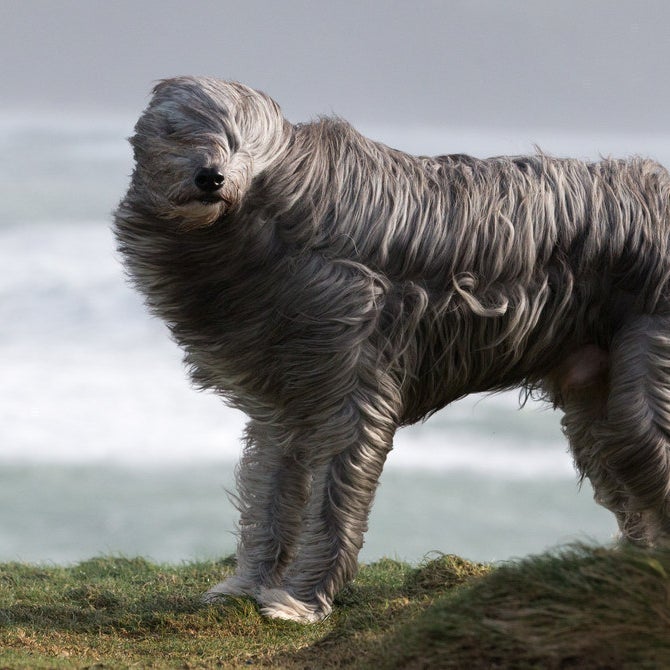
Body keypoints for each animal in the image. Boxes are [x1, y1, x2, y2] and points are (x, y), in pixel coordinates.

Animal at [114, 77, 670, 624]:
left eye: (245, 141)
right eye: (180, 129)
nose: (211, 177)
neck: (280, 206)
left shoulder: (353, 381)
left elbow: (335, 495)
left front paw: (301, 600)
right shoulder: (285, 402)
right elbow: (271, 490)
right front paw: (247, 585)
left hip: (646, 376)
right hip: (597, 398)